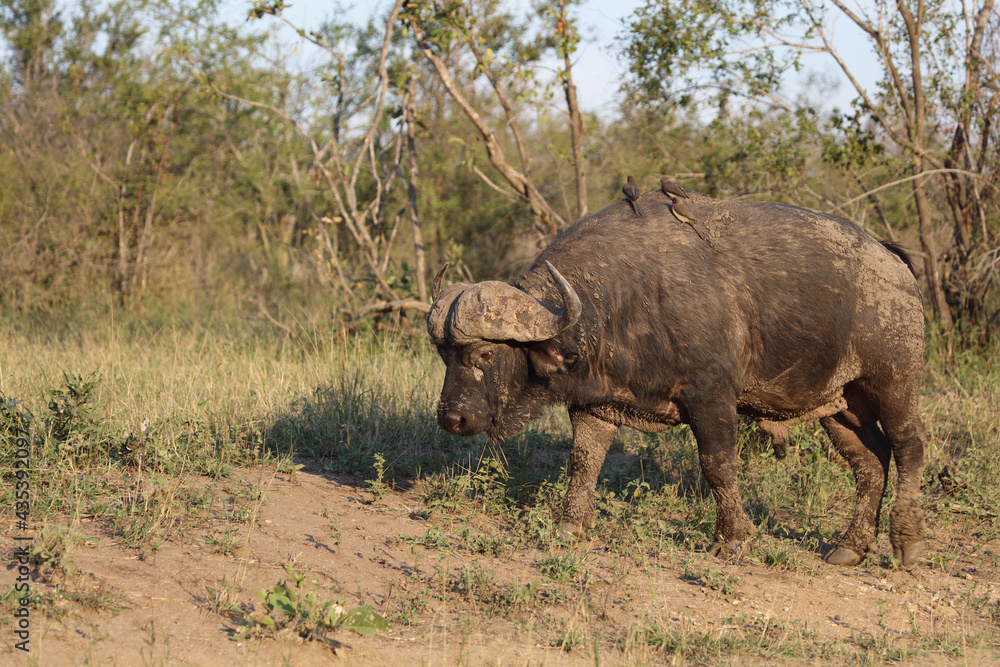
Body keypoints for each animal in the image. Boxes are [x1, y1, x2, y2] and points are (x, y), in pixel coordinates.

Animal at [427, 187, 927, 566]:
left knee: (909, 448)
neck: (626, 297)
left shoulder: (711, 397)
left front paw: (733, 538)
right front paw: (570, 524)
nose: (452, 419)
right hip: (840, 404)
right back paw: (850, 547)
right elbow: (583, 461)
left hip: (895, 384)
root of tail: (892, 263)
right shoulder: (595, 405)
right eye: (443, 354)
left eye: (485, 353)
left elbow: (718, 465)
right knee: (871, 461)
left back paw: (907, 543)